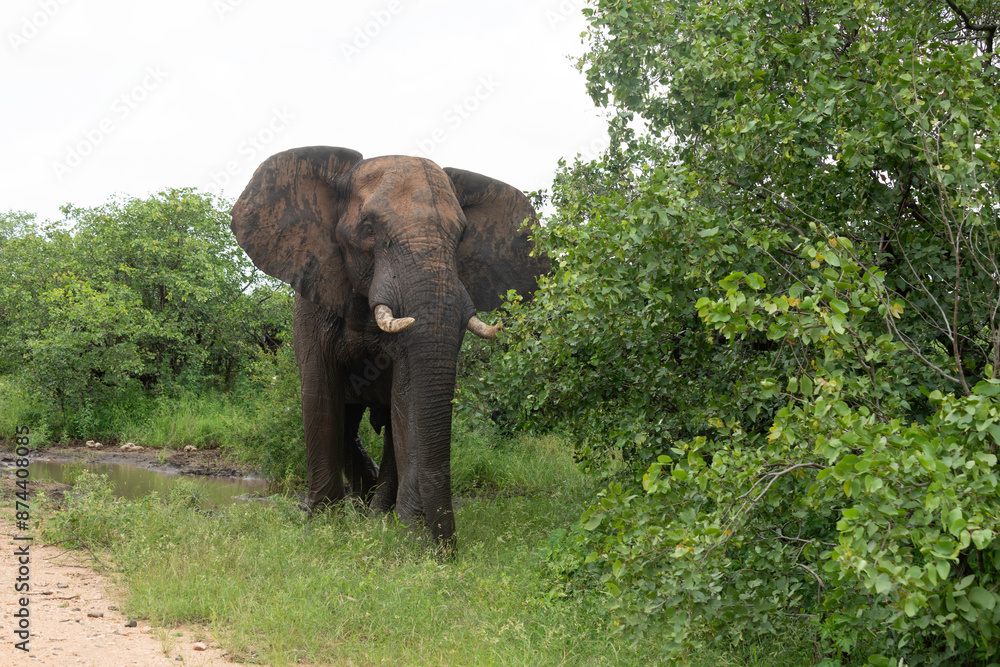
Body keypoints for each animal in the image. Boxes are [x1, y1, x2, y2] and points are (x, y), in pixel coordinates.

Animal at [230, 146, 548, 547]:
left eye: (461, 236)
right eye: (368, 230)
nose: (447, 550)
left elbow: (407, 396)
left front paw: (407, 531)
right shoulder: (313, 294)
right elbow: (319, 394)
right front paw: (323, 523)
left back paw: (376, 510)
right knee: (347, 423)